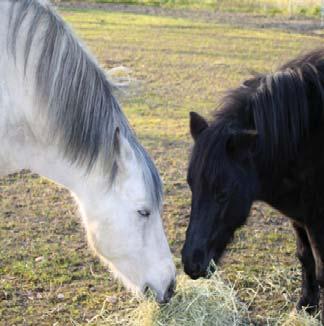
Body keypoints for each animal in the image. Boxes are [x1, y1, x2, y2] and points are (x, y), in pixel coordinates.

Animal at [182, 49, 324, 320]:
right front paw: (306, 306)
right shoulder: (300, 217)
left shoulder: (316, 221)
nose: (191, 263)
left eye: (223, 193)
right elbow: (306, 258)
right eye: (191, 185)